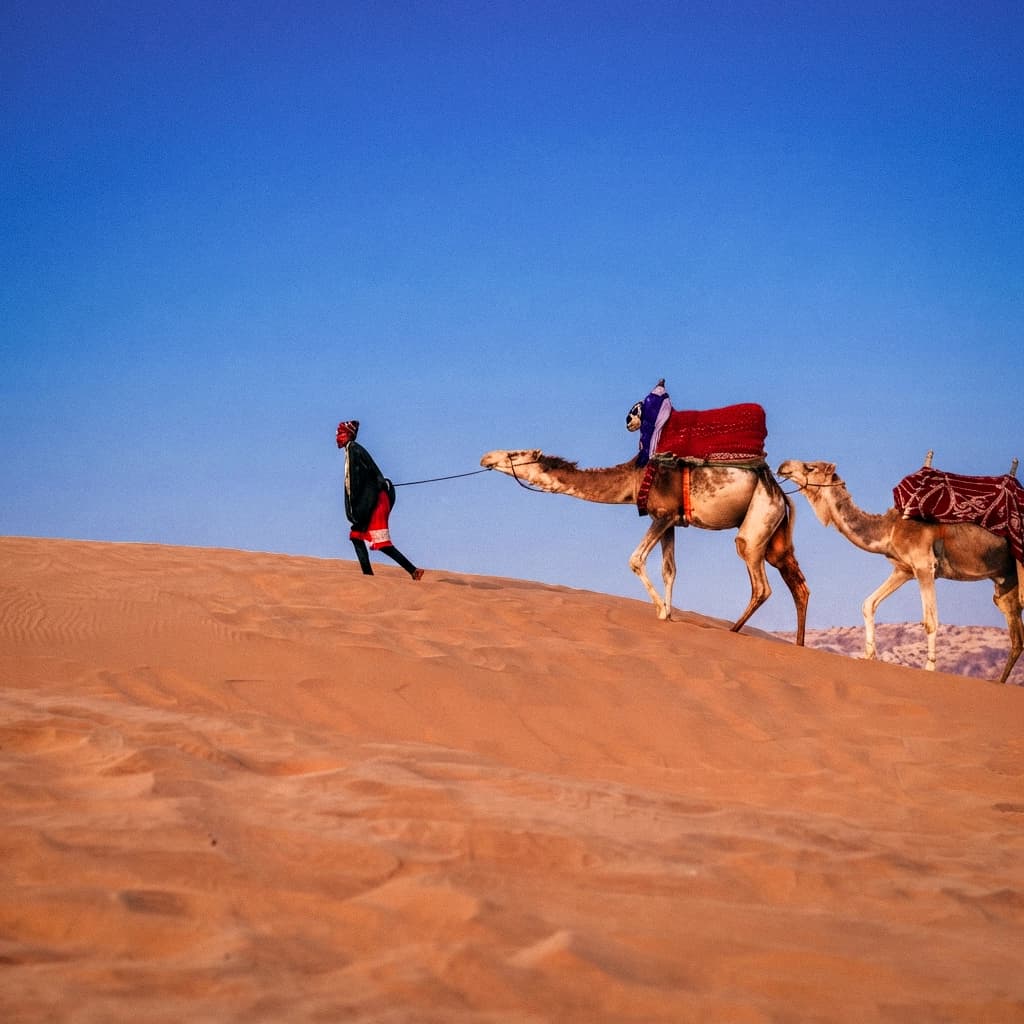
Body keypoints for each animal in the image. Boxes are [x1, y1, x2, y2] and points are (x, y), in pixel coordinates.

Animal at [480, 449, 809, 644]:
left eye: (514, 454)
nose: (486, 458)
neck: (634, 480)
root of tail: (782, 494)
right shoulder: (670, 521)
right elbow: (669, 569)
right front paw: (669, 614)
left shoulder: (662, 515)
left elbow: (635, 560)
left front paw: (661, 611)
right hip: (776, 535)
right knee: (799, 586)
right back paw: (799, 645)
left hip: (756, 522)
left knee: (761, 584)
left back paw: (732, 631)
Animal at [777, 460, 1023, 684]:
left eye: (810, 467)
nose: (783, 466)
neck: (890, 528)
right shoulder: (903, 570)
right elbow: (868, 604)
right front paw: (868, 655)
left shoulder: (924, 565)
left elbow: (930, 620)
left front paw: (929, 669)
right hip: (1005, 585)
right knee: (1016, 639)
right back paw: (999, 682)